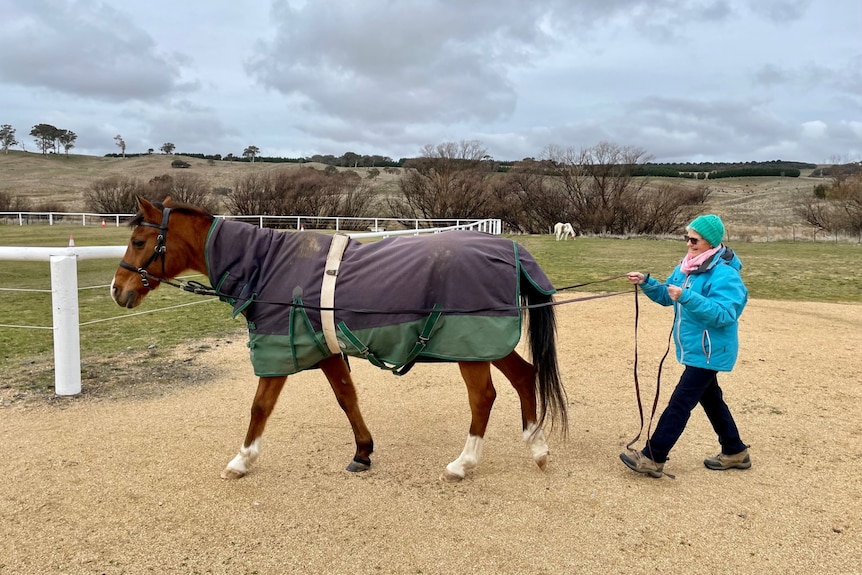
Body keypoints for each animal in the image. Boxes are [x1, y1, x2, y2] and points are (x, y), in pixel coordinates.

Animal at [113, 198, 572, 482]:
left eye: (138, 241)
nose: (118, 290)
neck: (269, 267)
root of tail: (510, 248)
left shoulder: (281, 350)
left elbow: (260, 406)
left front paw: (241, 460)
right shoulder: (326, 350)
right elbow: (347, 397)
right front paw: (362, 452)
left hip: (470, 349)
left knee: (483, 398)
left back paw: (464, 463)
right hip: (487, 343)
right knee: (523, 375)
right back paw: (537, 447)